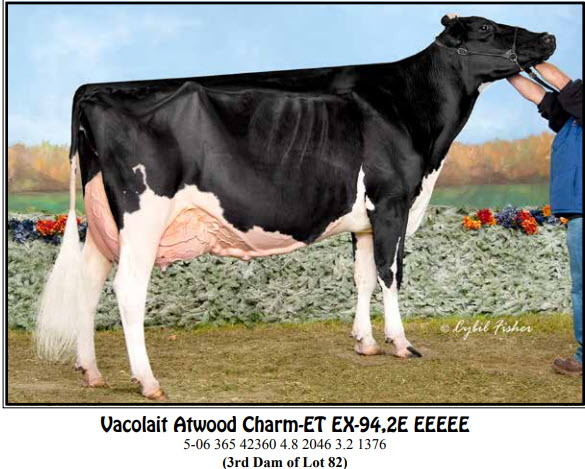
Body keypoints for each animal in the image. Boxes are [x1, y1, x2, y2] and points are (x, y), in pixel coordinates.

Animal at [35, 15, 555, 400]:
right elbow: (390, 273)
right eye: (485, 27)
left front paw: (366, 342)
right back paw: (147, 381)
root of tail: (96, 89)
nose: (549, 37)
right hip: (142, 216)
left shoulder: (364, 220)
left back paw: (91, 371)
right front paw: (401, 342)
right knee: (127, 289)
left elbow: (363, 276)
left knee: (89, 282)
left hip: (102, 221)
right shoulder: (392, 202)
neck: (409, 111)